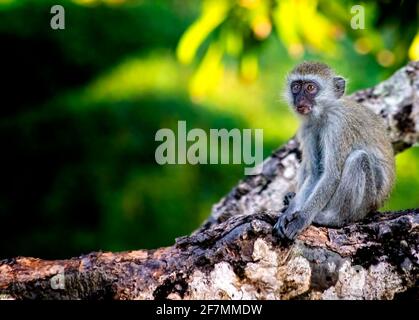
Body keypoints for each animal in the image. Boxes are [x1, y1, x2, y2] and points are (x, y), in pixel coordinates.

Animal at [274, 61, 396, 241]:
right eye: (296, 87)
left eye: (310, 87)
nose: (300, 100)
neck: (324, 113)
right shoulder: (308, 128)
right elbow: (315, 173)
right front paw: (289, 213)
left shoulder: (338, 126)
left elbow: (332, 175)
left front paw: (302, 218)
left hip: (366, 203)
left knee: (359, 159)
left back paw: (334, 219)